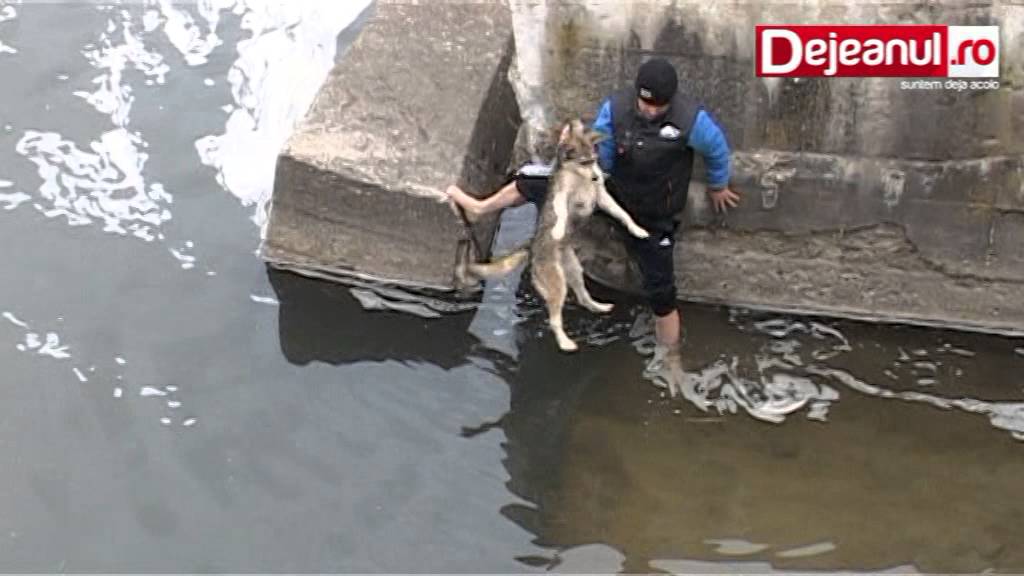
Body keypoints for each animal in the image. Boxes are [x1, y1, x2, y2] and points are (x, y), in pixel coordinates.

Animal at [460, 118, 651, 350]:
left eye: (593, 160)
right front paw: (559, 227)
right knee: (554, 319)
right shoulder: (562, 193)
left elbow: (622, 212)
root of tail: (533, 247)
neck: (579, 177)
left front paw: (637, 229)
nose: (596, 176)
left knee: (581, 293)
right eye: (583, 162)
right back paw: (564, 341)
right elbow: (560, 209)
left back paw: (596, 306)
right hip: (556, 281)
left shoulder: (602, 196)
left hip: (573, 267)